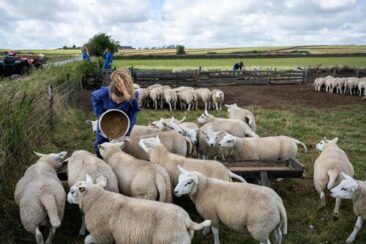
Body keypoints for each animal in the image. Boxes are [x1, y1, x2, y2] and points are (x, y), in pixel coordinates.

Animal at [68, 174, 212, 244]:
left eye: (73, 191)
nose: (68, 198)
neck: (97, 200)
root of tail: (186, 220)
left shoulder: (101, 235)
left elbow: (87, 240)